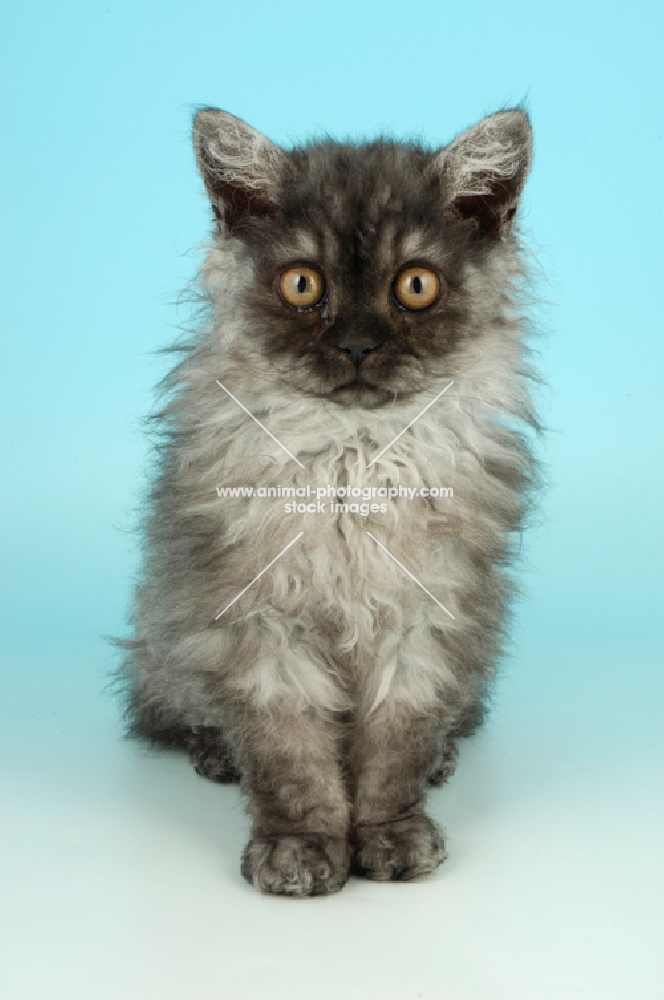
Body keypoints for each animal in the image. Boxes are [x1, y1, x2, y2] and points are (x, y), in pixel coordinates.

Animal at [114, 105, 540, 896]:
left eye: (415, 286)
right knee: (177, 710)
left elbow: (395, 749)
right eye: (303, 285)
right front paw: (300, 847)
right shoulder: (259, 624)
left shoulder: (425, 620)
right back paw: (217, 753)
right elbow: (291, 757)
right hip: (168, 640)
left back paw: (442, 760)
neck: (353, 461)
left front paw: (389, 834)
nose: (358, 346)